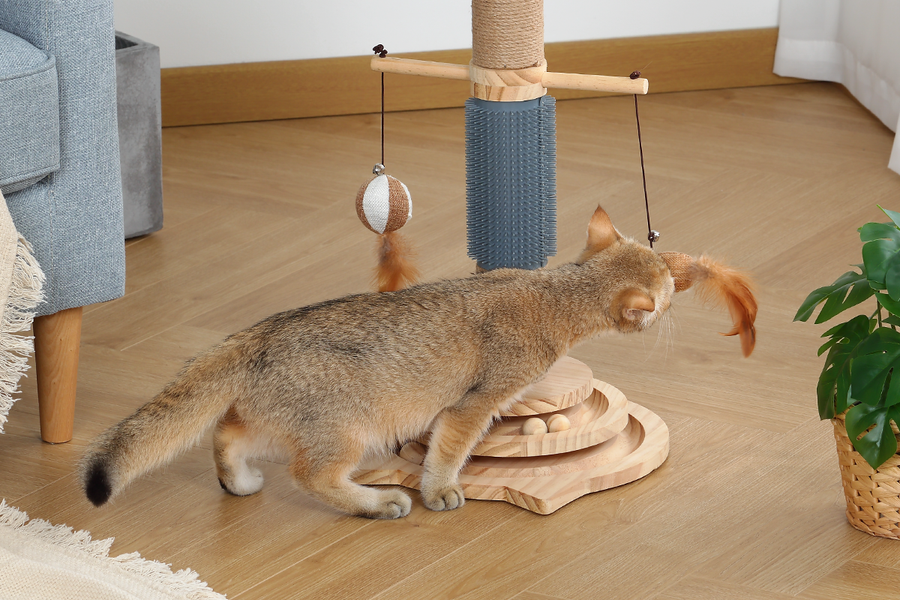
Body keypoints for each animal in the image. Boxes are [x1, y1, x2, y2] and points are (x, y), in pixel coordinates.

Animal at [80, 205, 756, 519]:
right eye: (665, 290)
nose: (681, 278)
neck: (549, 295)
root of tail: (260, 331)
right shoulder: (472, 406)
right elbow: (449, 453)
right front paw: (440, 492)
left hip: (279, 419)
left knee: (226, 432)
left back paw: (238, 482)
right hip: (346, 432)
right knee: (311, 475)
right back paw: (377, 504)